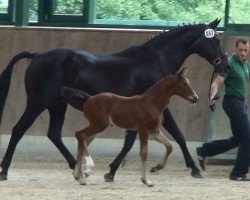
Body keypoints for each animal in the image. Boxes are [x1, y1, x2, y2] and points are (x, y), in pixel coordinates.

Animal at [60, 67, 197, 186]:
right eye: (184, 84)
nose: (195, 98)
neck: (151, 103)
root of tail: (89, 98)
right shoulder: (143, 129)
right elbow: (144, 153)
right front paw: (146, 181)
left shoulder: (154, 131)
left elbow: (169, 146)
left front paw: (156, 168)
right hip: (99, 125)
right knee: (80, 135)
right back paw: (86, 170)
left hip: (96, 126)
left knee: (84, 140)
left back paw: (80, 176)